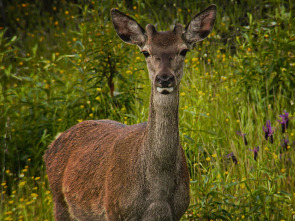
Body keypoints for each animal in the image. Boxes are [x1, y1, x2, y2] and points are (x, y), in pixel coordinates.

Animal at [44, 4, 216, 220]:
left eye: (183, 50)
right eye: (146, 52)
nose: (164, 78)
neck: (158, 191)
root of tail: (53, 143)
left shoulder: (177, 211)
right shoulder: (114, 210)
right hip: (59, 201)